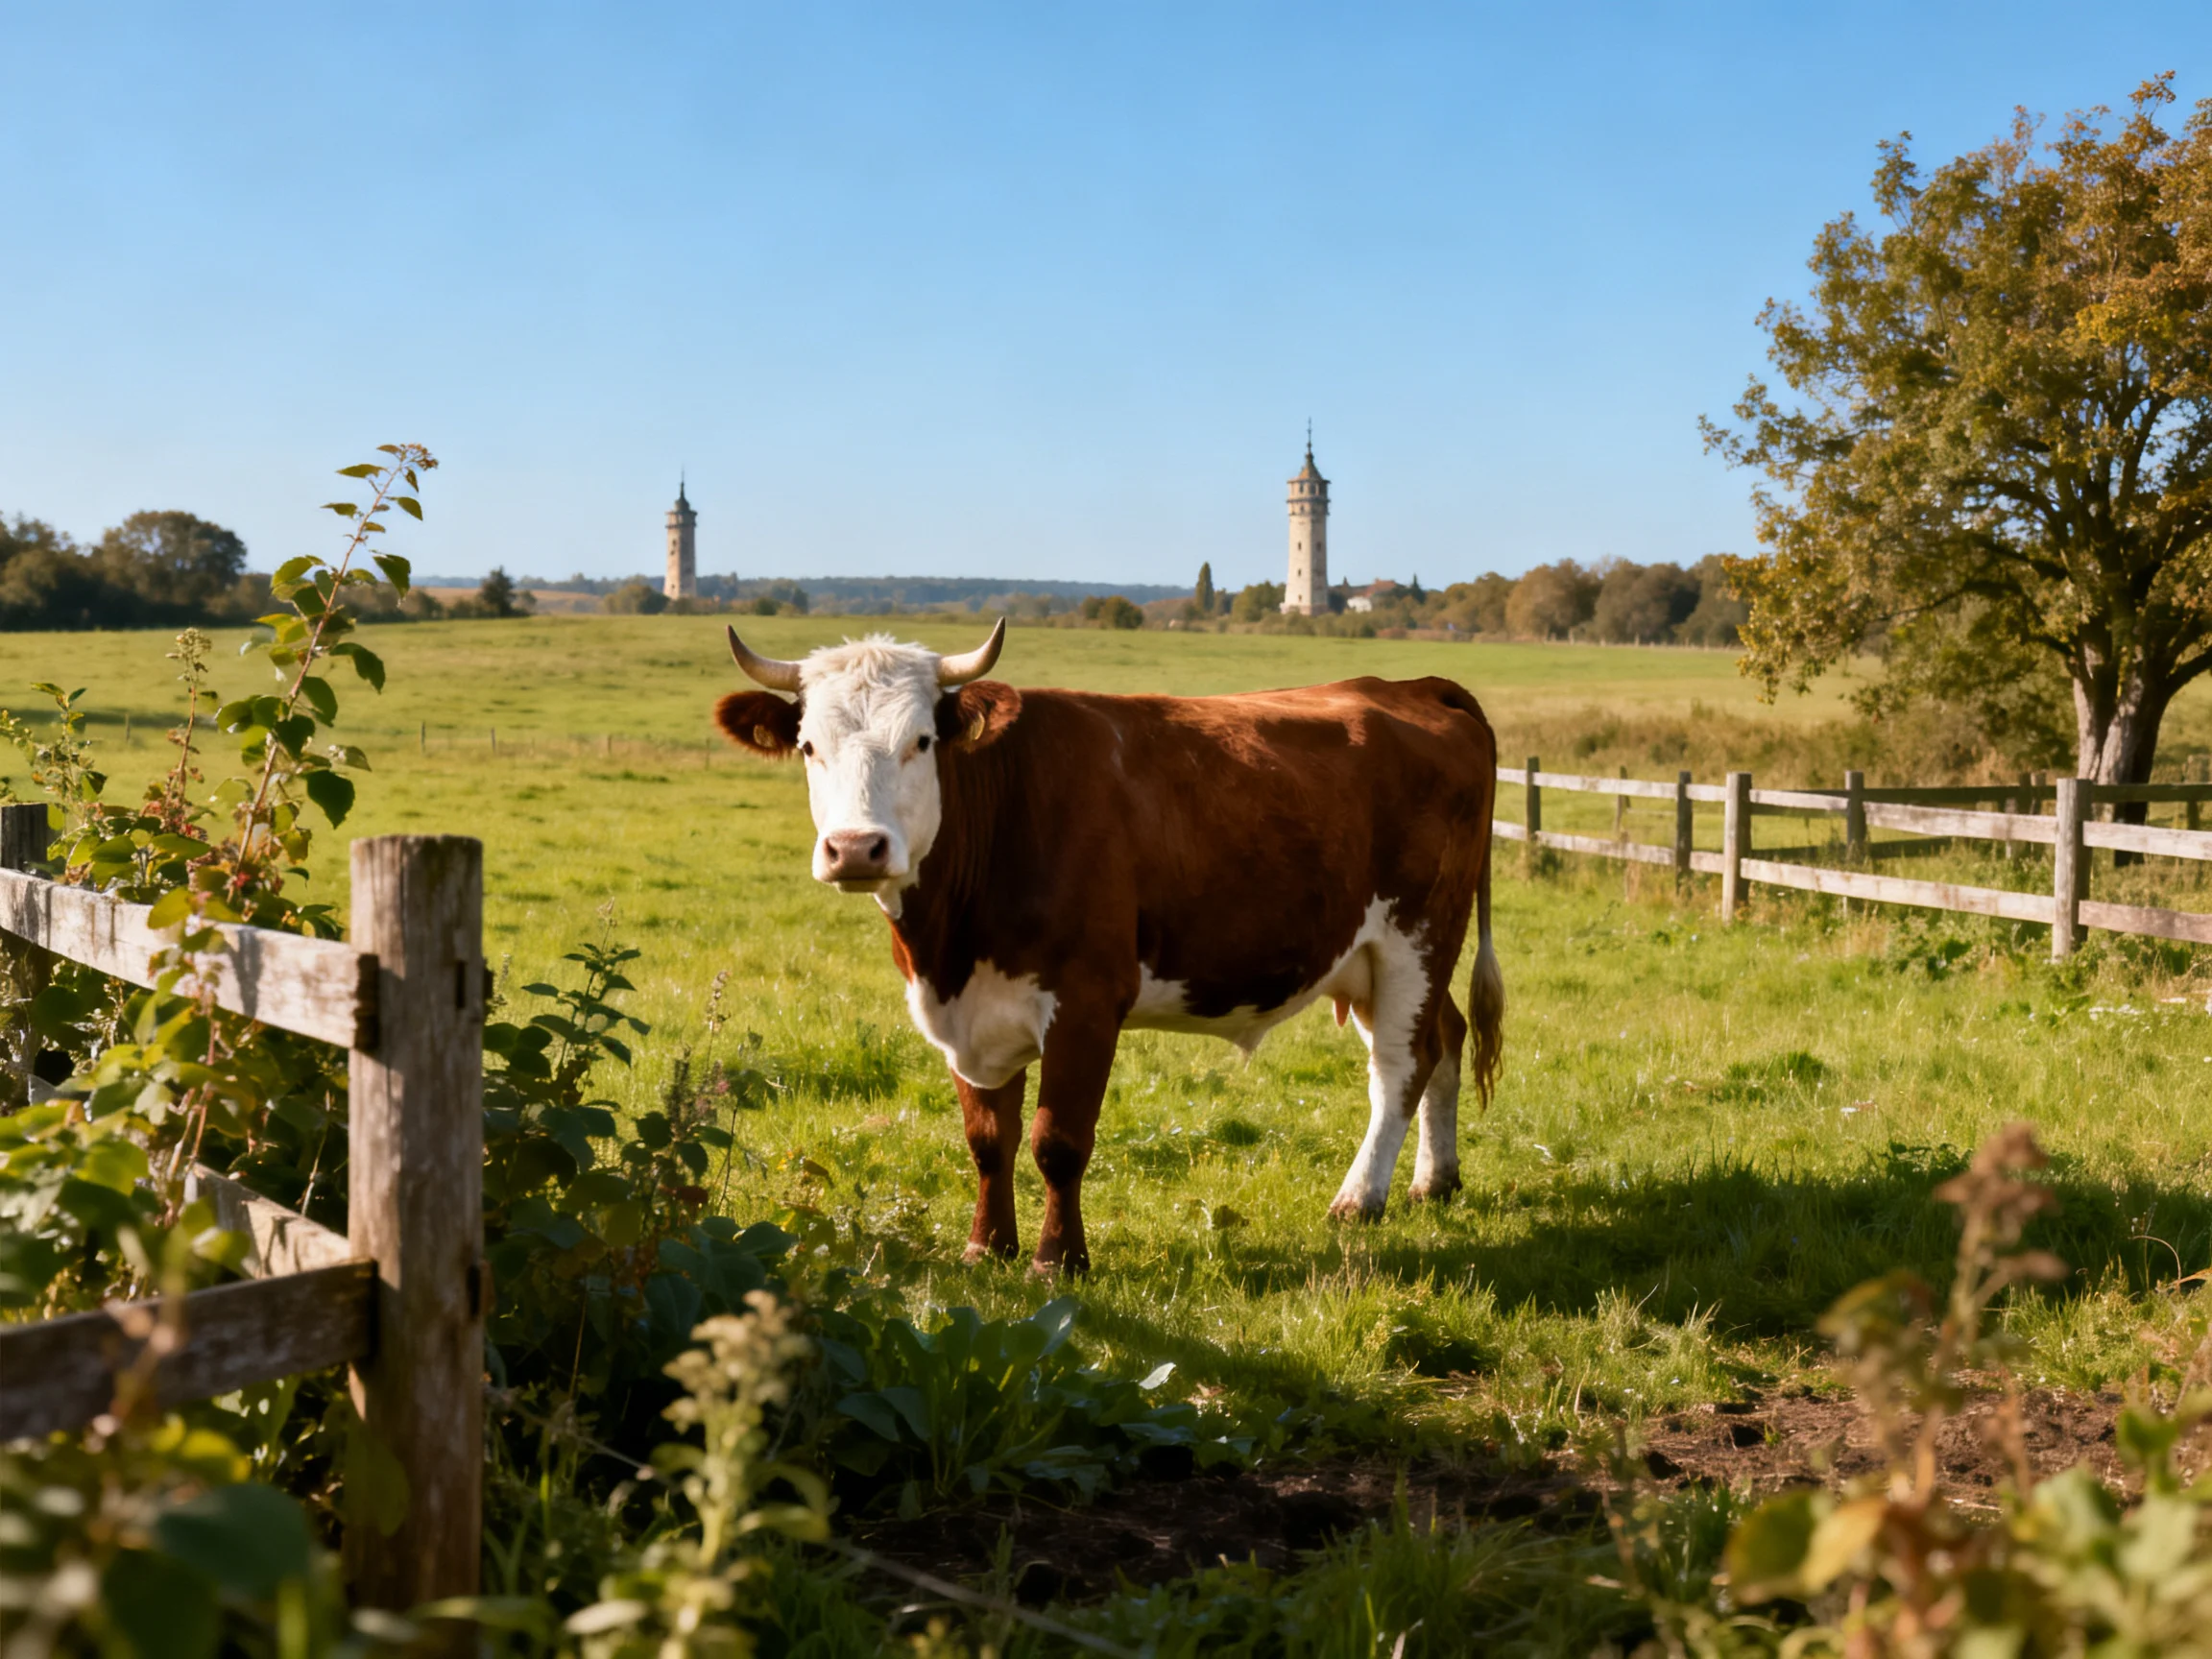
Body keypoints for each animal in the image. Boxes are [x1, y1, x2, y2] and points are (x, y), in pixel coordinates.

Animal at [712, 620, 1504, 1276]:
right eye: (809, 747)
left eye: (922, 742)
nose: (855, 849)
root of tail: (1411, 686)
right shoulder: (968, 1012)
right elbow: (987, 1139)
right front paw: (986, 1248)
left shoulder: (1087, 1002)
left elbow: (1057, 1143)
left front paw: (1057, 1261)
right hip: (1371, 957)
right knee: (1446, 1036)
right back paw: (1435, 1180)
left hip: (1417, 935)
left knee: (1401, 1064)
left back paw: (1360, 1198)